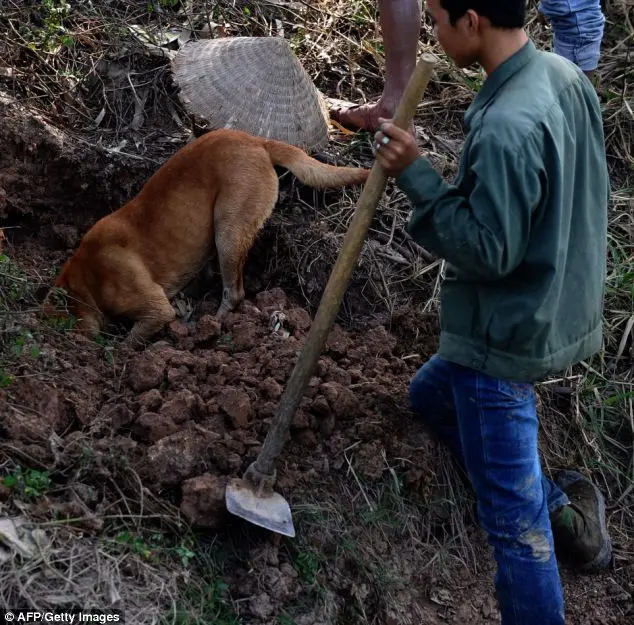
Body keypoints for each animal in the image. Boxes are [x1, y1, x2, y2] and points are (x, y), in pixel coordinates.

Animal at [47, 127, 368, 342]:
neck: (86, 274)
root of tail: (257, 142)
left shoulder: (155, 309)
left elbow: (133, 339)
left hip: (229, 230)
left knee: (234, 292)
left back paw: (212, 322)